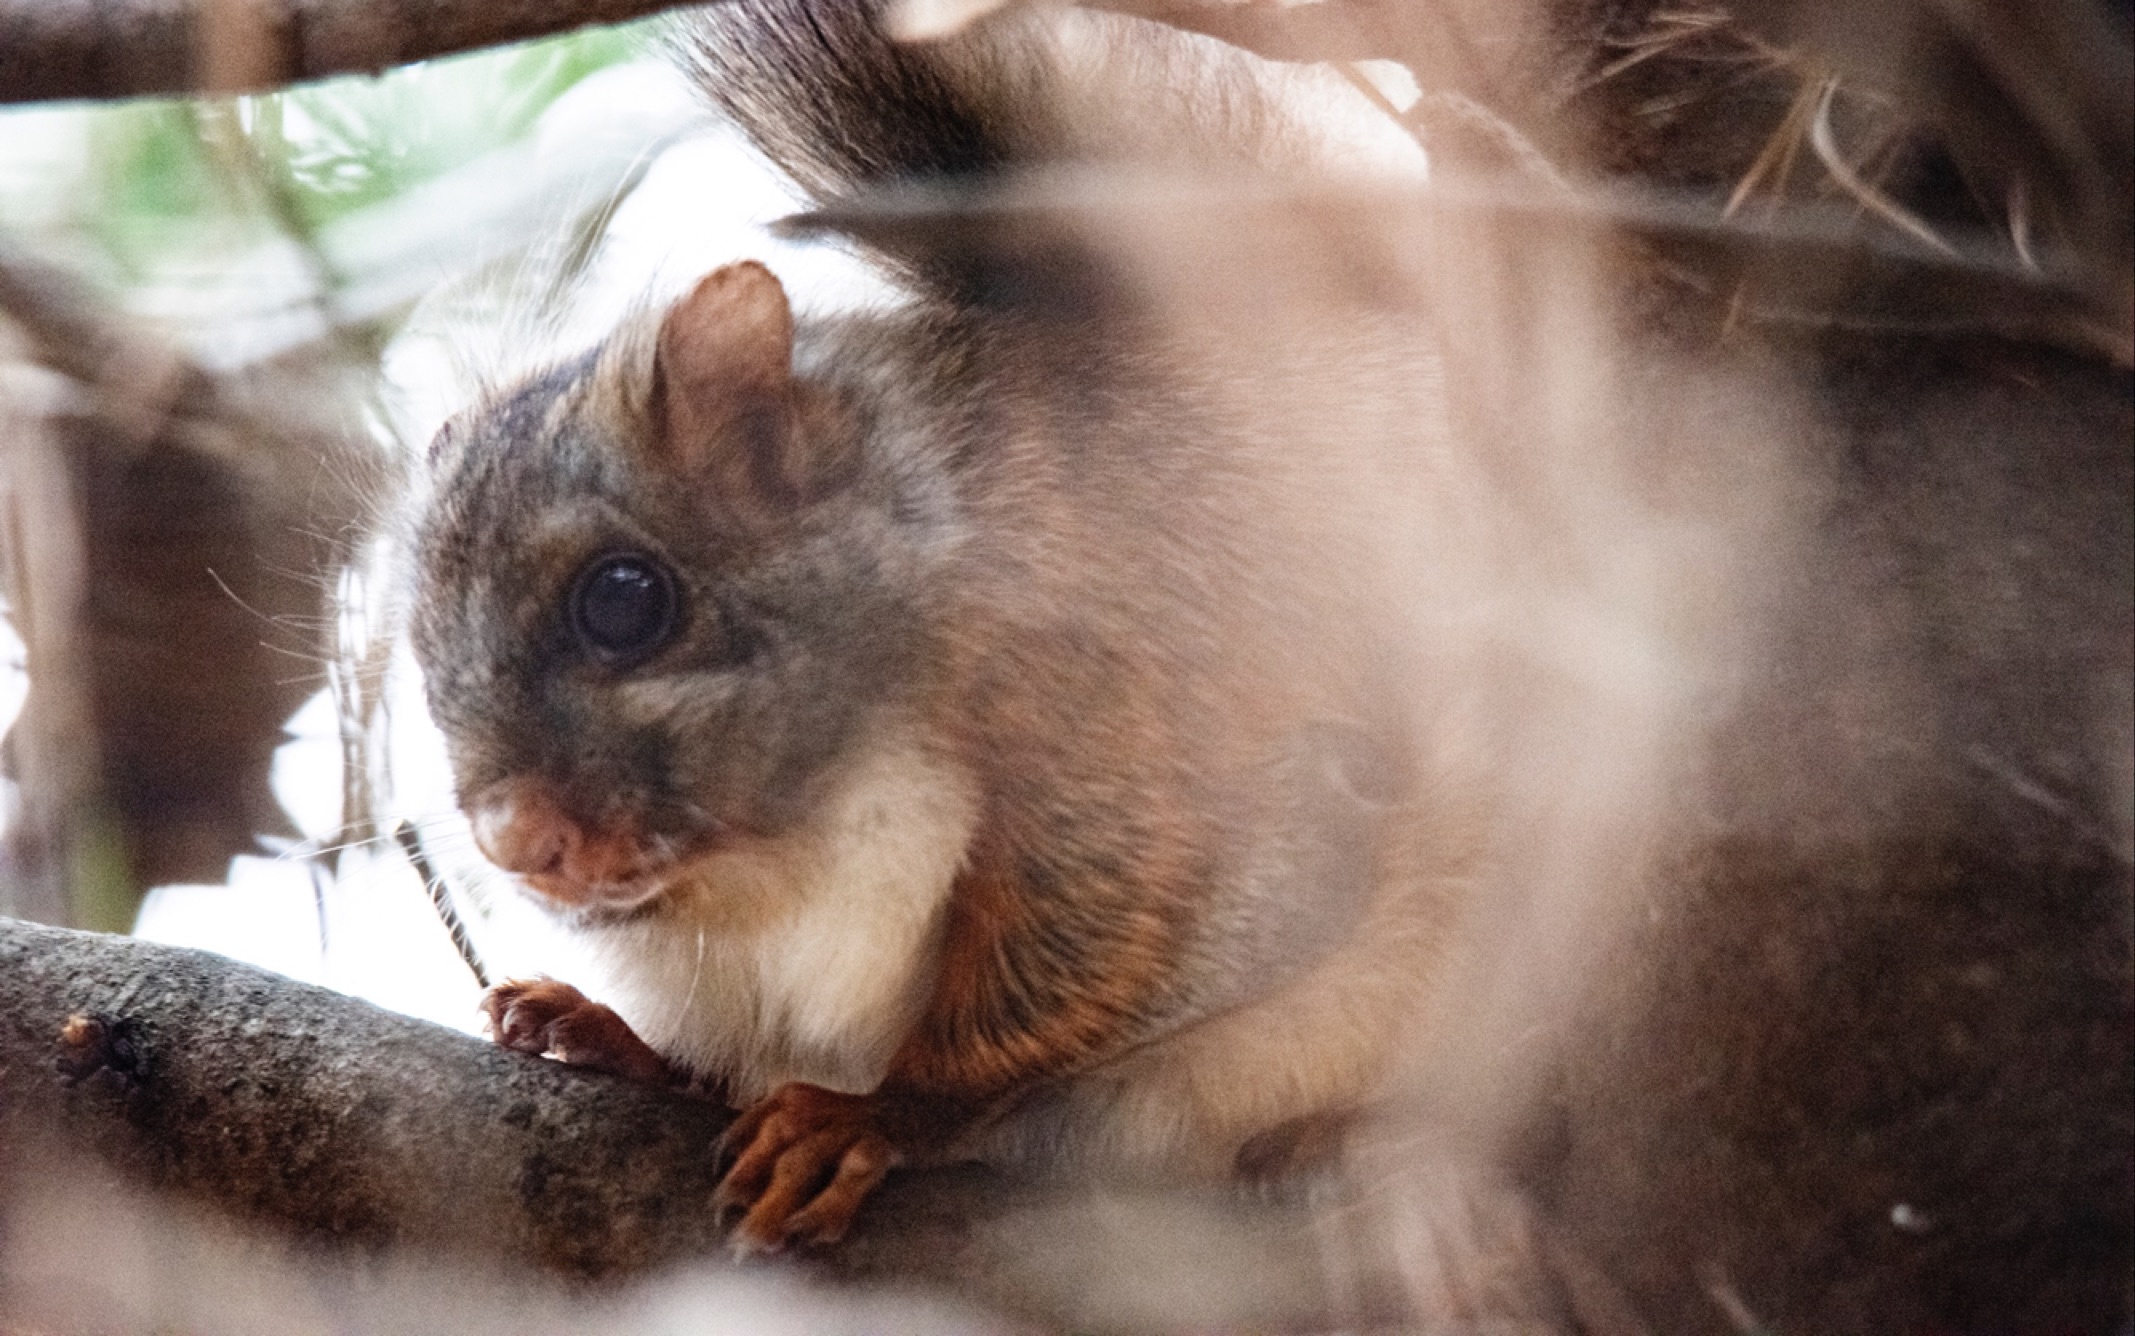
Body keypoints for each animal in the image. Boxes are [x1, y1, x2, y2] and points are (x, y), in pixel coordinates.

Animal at [403, 0, 1468, 1246]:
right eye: (419, 650)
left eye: (625, 600)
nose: (513, 841)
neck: (774, 863)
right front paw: (606, 1036)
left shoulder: (1168, 749)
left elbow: (1100, 980)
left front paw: (873, 1116)